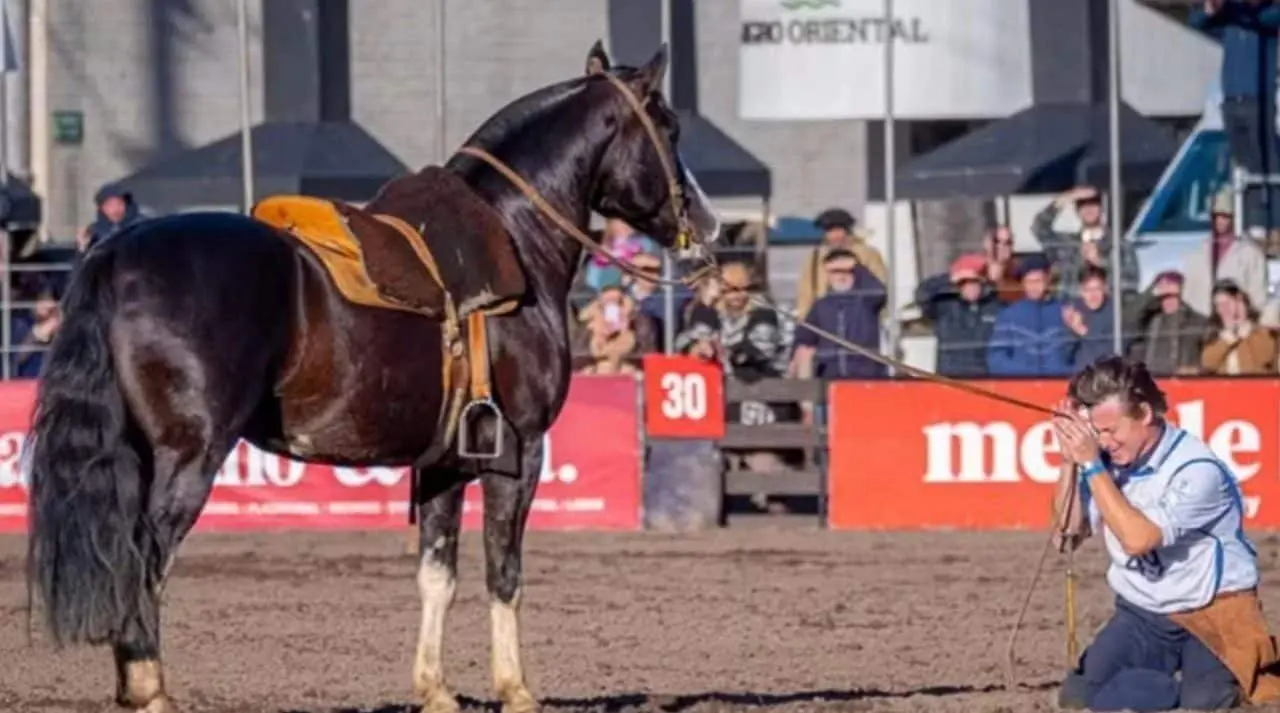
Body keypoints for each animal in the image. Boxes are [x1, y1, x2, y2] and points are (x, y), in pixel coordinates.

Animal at [25, 41, 719, 713]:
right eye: (669, 126)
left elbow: (438, 575)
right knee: (146, 556)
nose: (708, 225)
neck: (517, 238)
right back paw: (152, 689)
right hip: (189, 455)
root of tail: (116, 253)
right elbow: (504, 572)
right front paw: (516, 689)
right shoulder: (519, 454)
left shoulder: (445, 464)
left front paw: (435, 689)